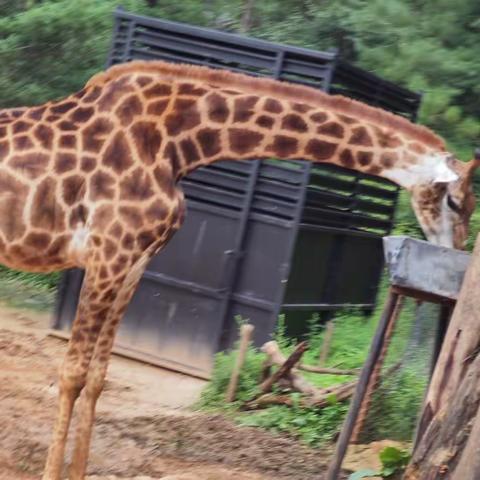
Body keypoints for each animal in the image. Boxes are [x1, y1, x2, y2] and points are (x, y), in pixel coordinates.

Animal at [0, 61, 476, 480]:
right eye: (456, 202)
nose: (455, 255)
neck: (180, 142)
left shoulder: (134, 261)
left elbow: (98, 376)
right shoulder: (108, 253)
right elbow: (73, 373)